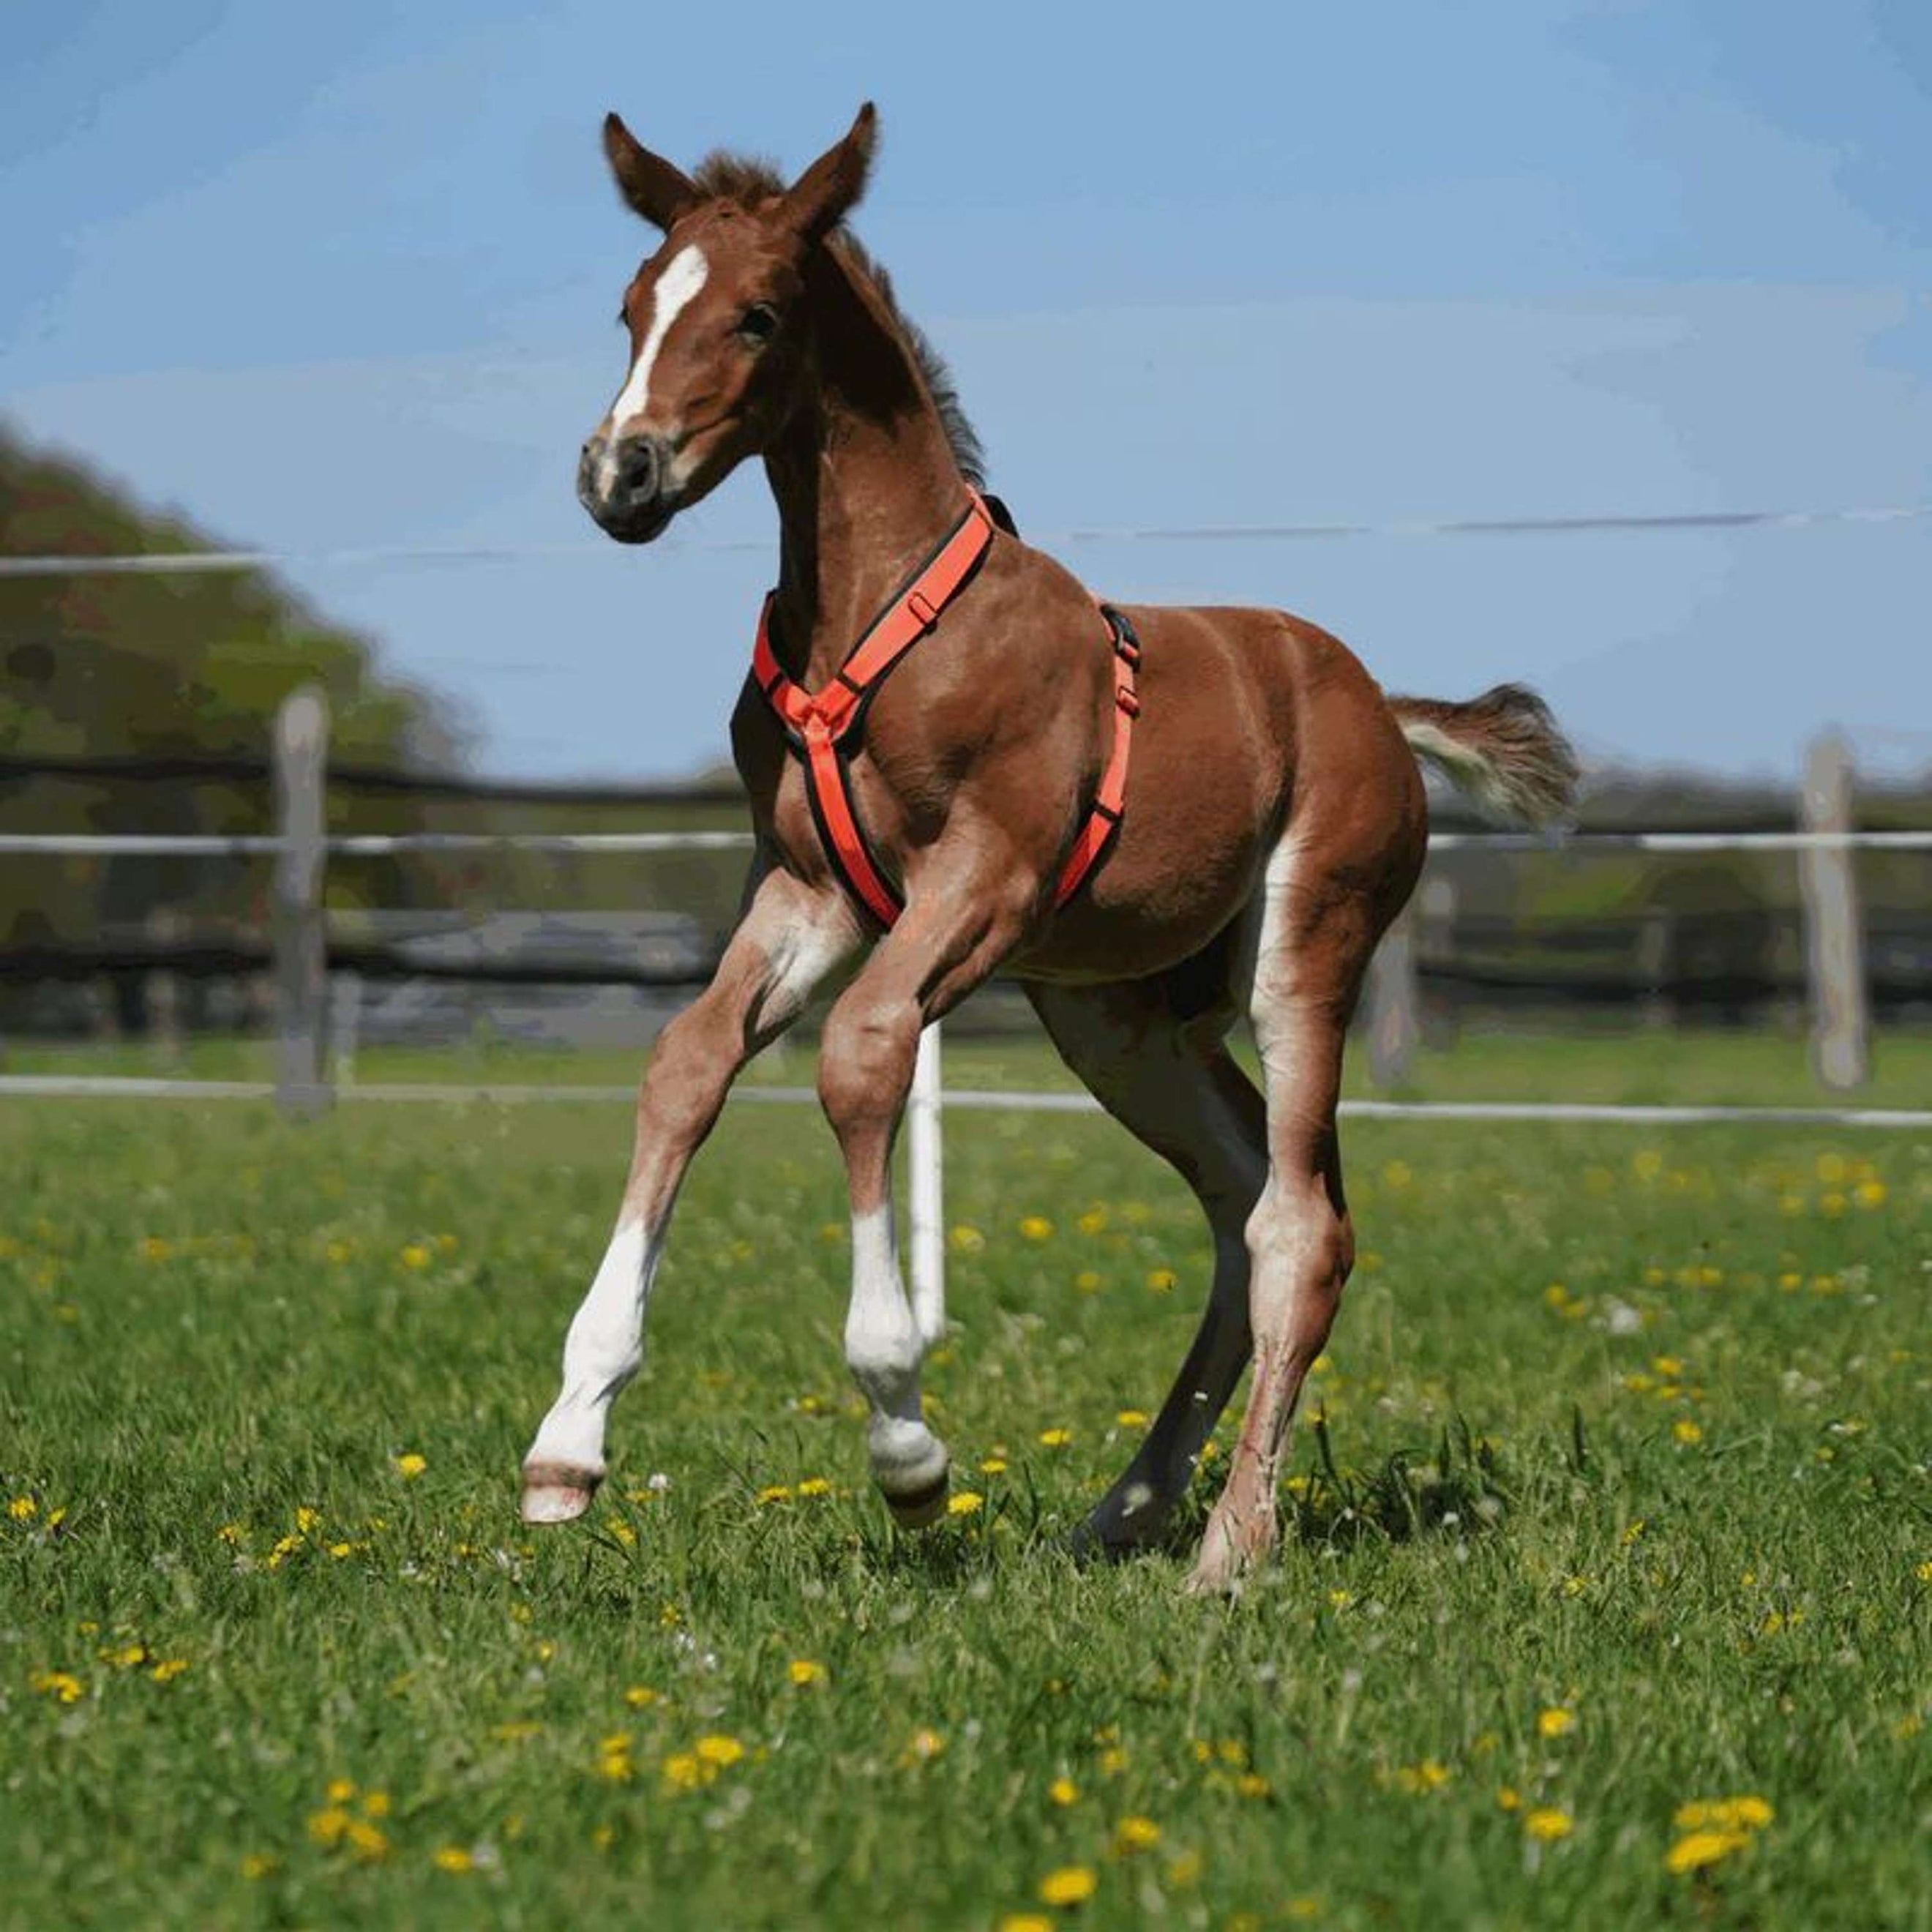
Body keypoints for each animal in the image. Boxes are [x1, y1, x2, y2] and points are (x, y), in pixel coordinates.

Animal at [520, 104, 1577, 1593]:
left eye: (759, 316)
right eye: (630, 307)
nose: (621, 474)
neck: (877, 620)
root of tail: (1383, 705)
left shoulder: (989, 876)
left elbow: (863, 1056)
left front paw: (905, 1442)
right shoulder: (810, 891)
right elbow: (687, 1064)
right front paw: (568, 1441)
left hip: (1303, 946)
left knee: (1301, 1228)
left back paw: (1227, 1551)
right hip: (1119, 1022)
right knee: (1242, 1204)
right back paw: (1127, 1507)